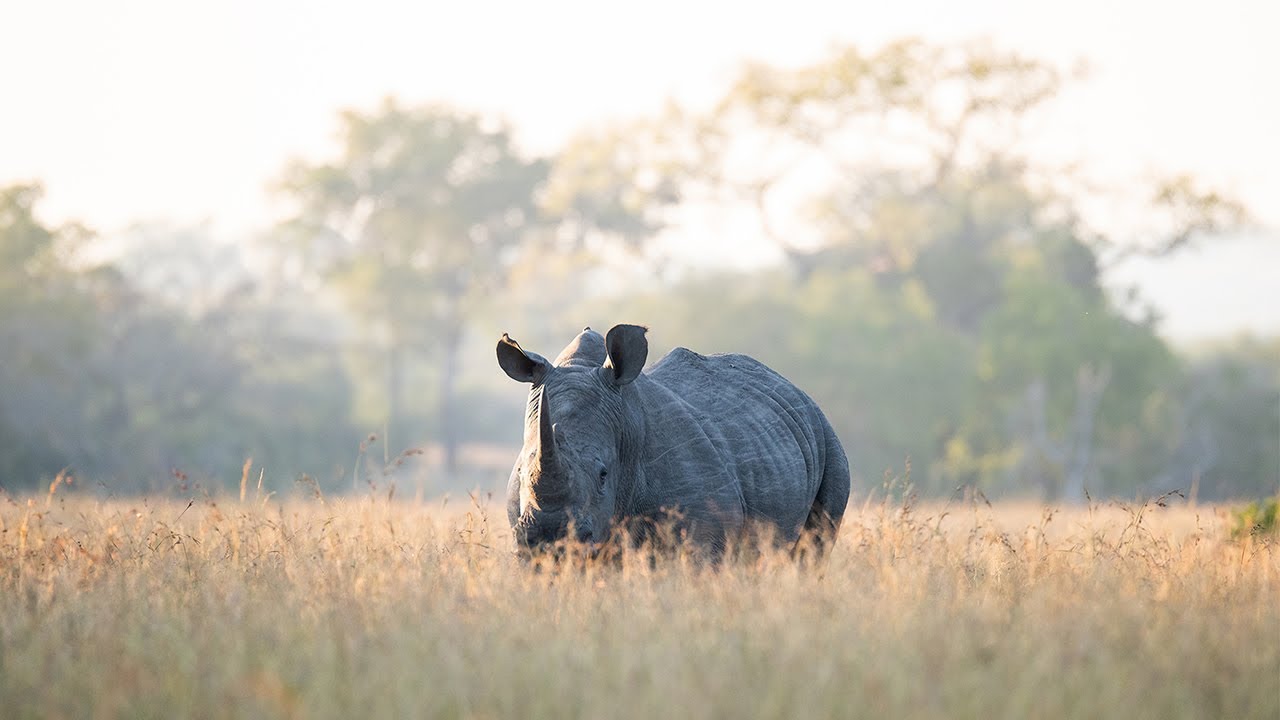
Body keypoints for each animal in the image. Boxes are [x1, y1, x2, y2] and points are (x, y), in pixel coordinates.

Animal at [496, 324, 850, 558]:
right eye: (522, 473)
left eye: (603, 475)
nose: (548, 540)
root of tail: (795, 388)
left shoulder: (706, 526)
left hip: (826, 435)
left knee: (814, 548)